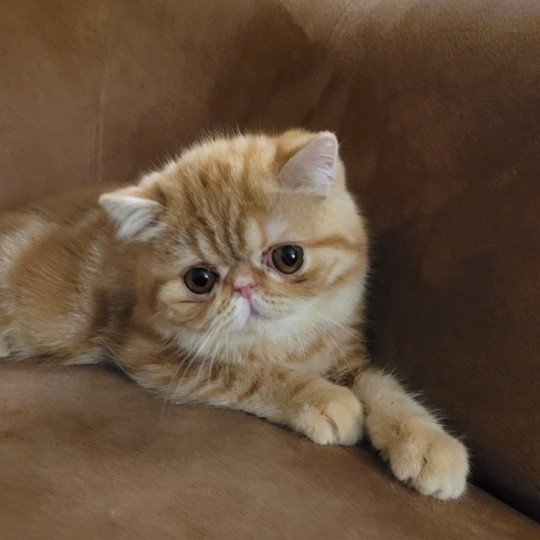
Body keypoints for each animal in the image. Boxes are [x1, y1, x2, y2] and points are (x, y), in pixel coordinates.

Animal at [0, 129, 468, 500]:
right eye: (200, 279)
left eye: (288, 258)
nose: (244, 286)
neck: (286, 341)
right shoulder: (149, 353)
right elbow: (251, 373)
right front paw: (325, 398)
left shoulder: (346, 354)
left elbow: (383, 387)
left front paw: (429, 443)